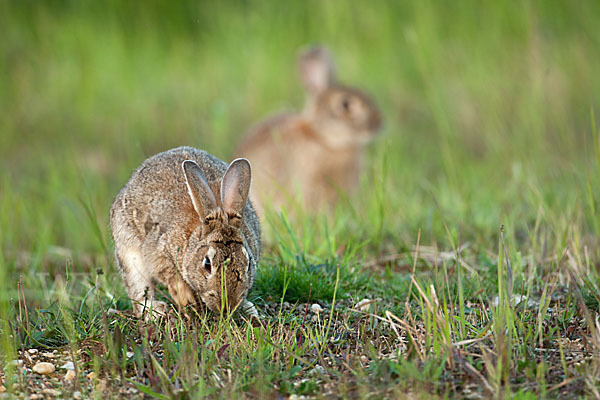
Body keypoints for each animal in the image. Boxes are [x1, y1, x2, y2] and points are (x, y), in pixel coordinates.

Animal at [110, 146, 260, 318]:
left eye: (248, 263)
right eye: (207, 264)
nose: (227, 306)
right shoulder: (160, 252)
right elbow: (172, 277)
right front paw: (188, 301)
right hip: (128, 252)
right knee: (139, 290)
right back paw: (156, 311)